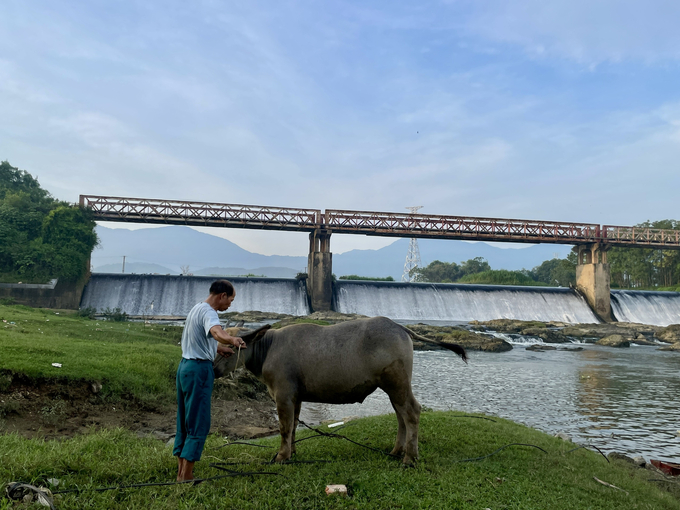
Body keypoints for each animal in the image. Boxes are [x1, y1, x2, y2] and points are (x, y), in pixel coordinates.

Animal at [214, 316, 468, 464]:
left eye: (230, 347)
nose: (214, 368)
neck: (267, 349)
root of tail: (399, 328)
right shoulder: (296, 398)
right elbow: (294, 427)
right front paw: (292, 453)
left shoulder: (284, 396)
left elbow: (284, 428)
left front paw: (282, 456)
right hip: (394, 387)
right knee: (401, 416)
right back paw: (397, 451)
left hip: (397, 383)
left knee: (412, 412)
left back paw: (409, 457)